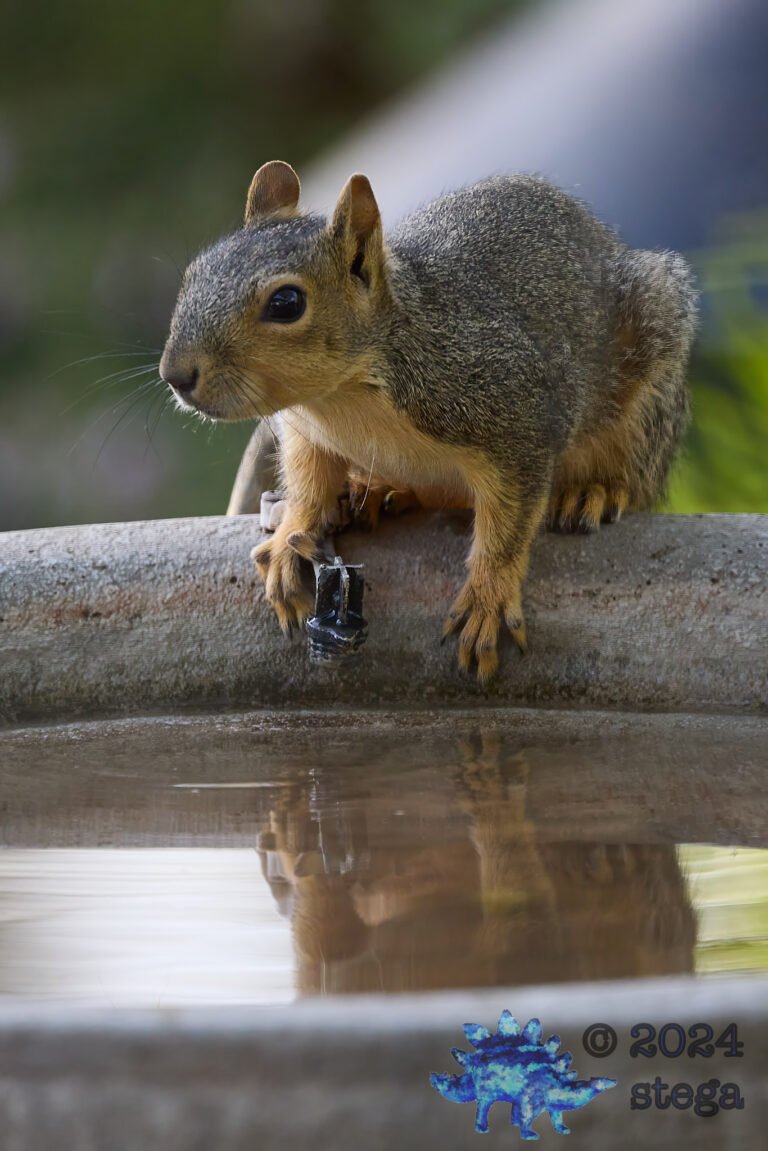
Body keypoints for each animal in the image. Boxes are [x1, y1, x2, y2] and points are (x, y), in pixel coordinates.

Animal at [160, 160, 697, 682]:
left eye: (286, 303)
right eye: (193, 274)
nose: (175, 375)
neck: (342, 401)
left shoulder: (516, 416)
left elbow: (508, 524)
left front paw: (488, 597)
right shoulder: (307, 435)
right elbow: (309, 484)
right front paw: (292, 537)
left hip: (649, 376)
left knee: (634, 472)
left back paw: (595, 490)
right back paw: (377, 490)